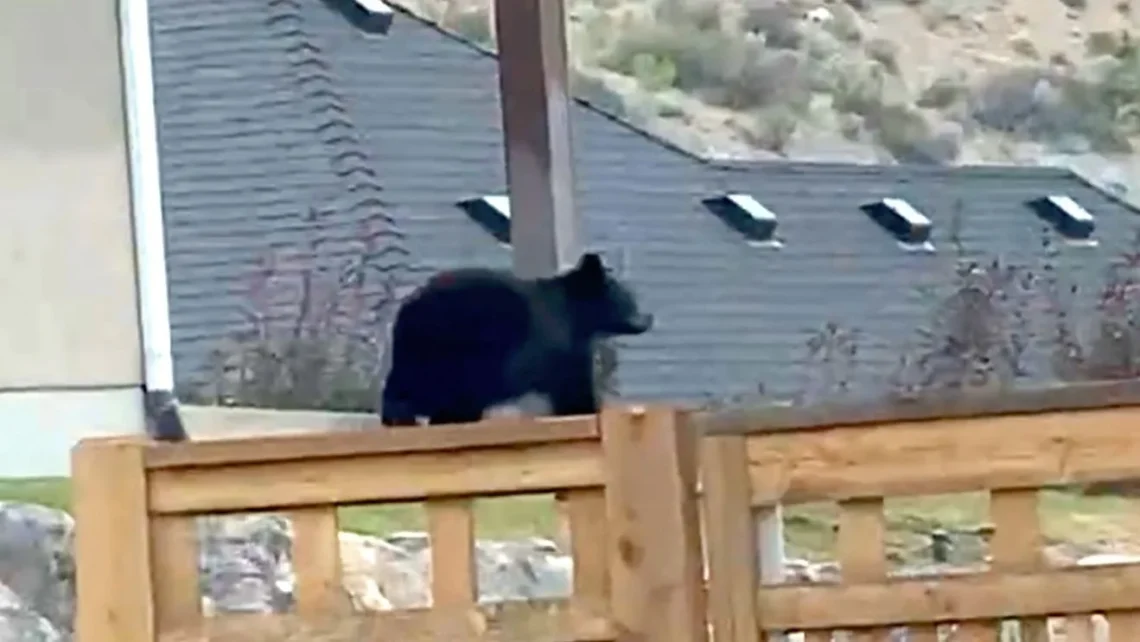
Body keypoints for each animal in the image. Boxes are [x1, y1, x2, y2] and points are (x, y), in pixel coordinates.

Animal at [378, 252, 654, 426]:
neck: (575, 316)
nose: (648, 318)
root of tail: (409, 307)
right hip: (458, 343)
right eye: (629, 299)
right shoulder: (554, 348)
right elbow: (571, 386)